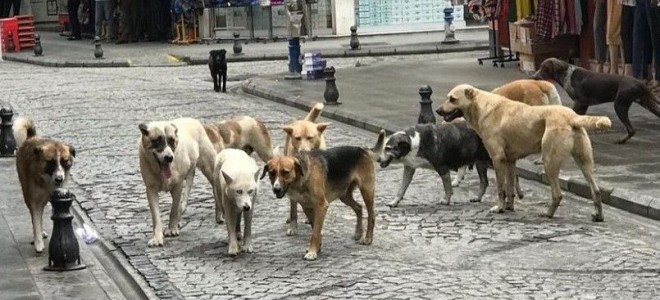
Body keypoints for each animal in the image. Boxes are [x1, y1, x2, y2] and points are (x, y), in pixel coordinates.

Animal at [13, 116, 75, 253]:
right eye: (50, 162)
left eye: (65, 161)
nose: (59, 179)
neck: (48, 181)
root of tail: (31, 137)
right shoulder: (34, 200)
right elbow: (36, 220)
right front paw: (38, 242)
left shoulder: (59, 195)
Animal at [138, 117, 215, 246]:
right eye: (157, 141)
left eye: (171, 141)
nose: (169, 158)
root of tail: (192, 119)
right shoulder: (151, 190)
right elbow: (156, 217)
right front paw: (157, 237)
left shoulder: (177, 186)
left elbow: (173, 209)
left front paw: (172, 229)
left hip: (209, 167)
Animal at [282, 102, 330, 234]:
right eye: (297, 138)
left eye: (310, 138)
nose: (303, 150)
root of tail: (304, 120)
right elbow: (293, 208)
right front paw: (293, 226)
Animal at [532, 58, 660, 145]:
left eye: (545, 68)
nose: (533, 76)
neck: (566, 75)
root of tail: (640, 83)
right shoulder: (583, 105)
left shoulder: (580, 103)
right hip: (647, 103)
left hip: (619, 105)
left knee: (631, 129)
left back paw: (621, 140)